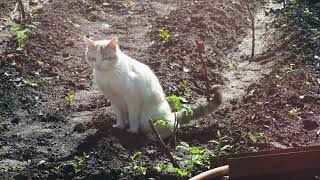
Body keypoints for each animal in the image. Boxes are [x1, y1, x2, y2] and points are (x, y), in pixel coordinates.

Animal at [83, 37, 222, 140]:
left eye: (105, 58)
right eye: (93, 59)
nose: (98, 65)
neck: (107, 76)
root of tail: (171, 115)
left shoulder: (132, 99)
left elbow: (133, 117)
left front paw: (132, 131)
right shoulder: (113, 99)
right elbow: (119, 115)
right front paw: (119, 126)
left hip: (151, 119)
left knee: (173, 128)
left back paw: (153, 136)